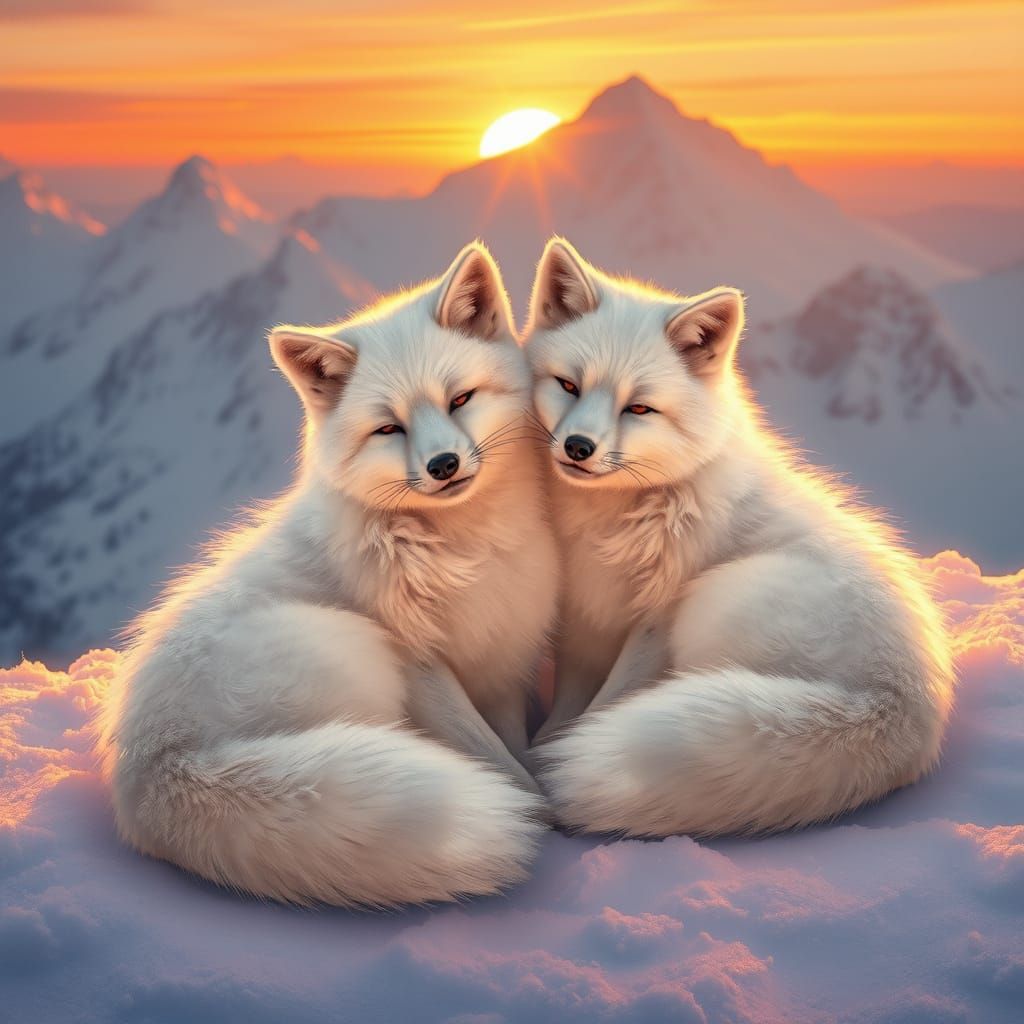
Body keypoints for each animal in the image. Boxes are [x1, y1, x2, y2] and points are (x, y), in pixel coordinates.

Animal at [97, 242, 558, 907]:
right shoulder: (423, 667)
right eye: (389, 428)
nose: (444, 465)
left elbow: (509, 741)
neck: (464, 551)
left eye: (460, 399)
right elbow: (491, 756)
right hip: (358, 650)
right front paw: (538, 809)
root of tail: (152, 771)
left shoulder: (499, 661)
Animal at [523, 237, 955, 837]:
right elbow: (570, 702)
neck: (616, 519)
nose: (578, 447)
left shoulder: (654, 623)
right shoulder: (586, 616)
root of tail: (899, 709)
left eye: (639, 408)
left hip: (712, 603)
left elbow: (606, 704)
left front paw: (552, 762)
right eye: (568, 385)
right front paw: (545, 744)